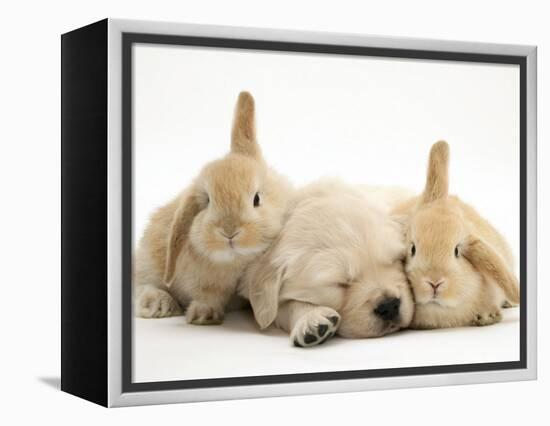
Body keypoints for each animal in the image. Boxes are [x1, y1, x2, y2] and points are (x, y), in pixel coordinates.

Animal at [134, 91, 296, 324]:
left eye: (256, 199)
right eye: (208, 201)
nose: (229, 231)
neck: (236, 262)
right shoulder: (204, 282)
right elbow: (208, 295)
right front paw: (204, 315)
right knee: (141, 285)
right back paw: (157, 304)